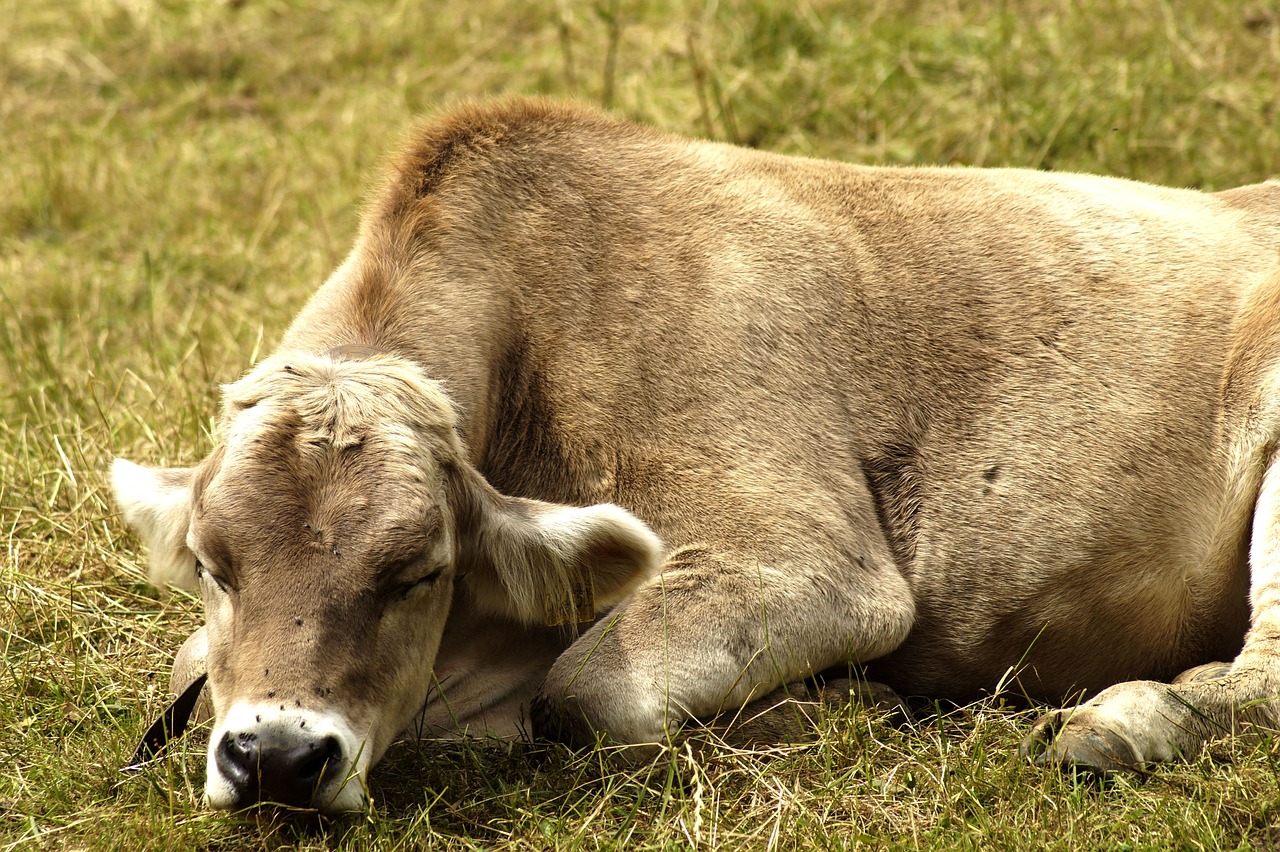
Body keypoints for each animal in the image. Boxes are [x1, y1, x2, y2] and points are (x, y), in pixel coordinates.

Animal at [112, 95, 1280, 808]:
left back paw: (1116, 724)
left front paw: (847, 708)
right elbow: (187, 671)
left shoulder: (813, 562)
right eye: (214, 567)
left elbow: (588, 693)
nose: (276, 756)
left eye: (417, 573)